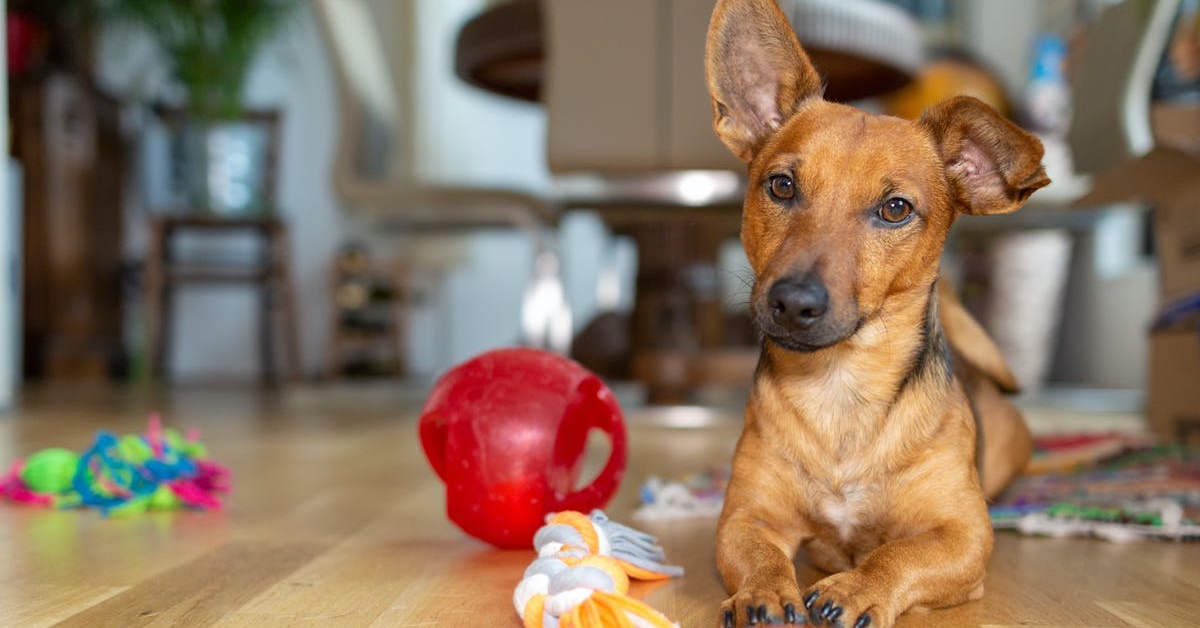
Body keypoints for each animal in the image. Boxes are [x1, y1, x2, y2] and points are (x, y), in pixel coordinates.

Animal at [700, 1, 1051, 628]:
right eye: (781, 185)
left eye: (895, 209)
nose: (793, 302)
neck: (841, 390)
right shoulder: (745, 516)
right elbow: (760, 555)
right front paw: (764, 591)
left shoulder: (964, 536)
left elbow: (898, 555)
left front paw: (858, 587)